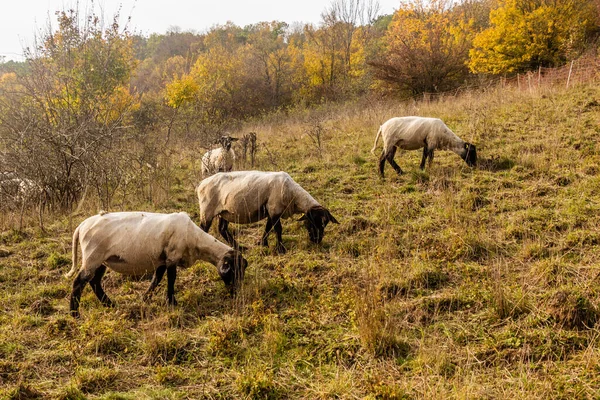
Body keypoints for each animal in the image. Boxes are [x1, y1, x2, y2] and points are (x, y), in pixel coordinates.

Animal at [67, 211, 248, 318]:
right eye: (233, 270)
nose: (236, 292)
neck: (196, 240)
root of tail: (80, 227)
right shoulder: (172, 257)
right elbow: (171, 279)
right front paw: (172, 302)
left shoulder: (162, 260)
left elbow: (157, 279)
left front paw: (145, 297)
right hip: (92, 257)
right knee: (79, 282)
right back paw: (75, 313)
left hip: (102, 260)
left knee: (95, 282)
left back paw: (109, 304)